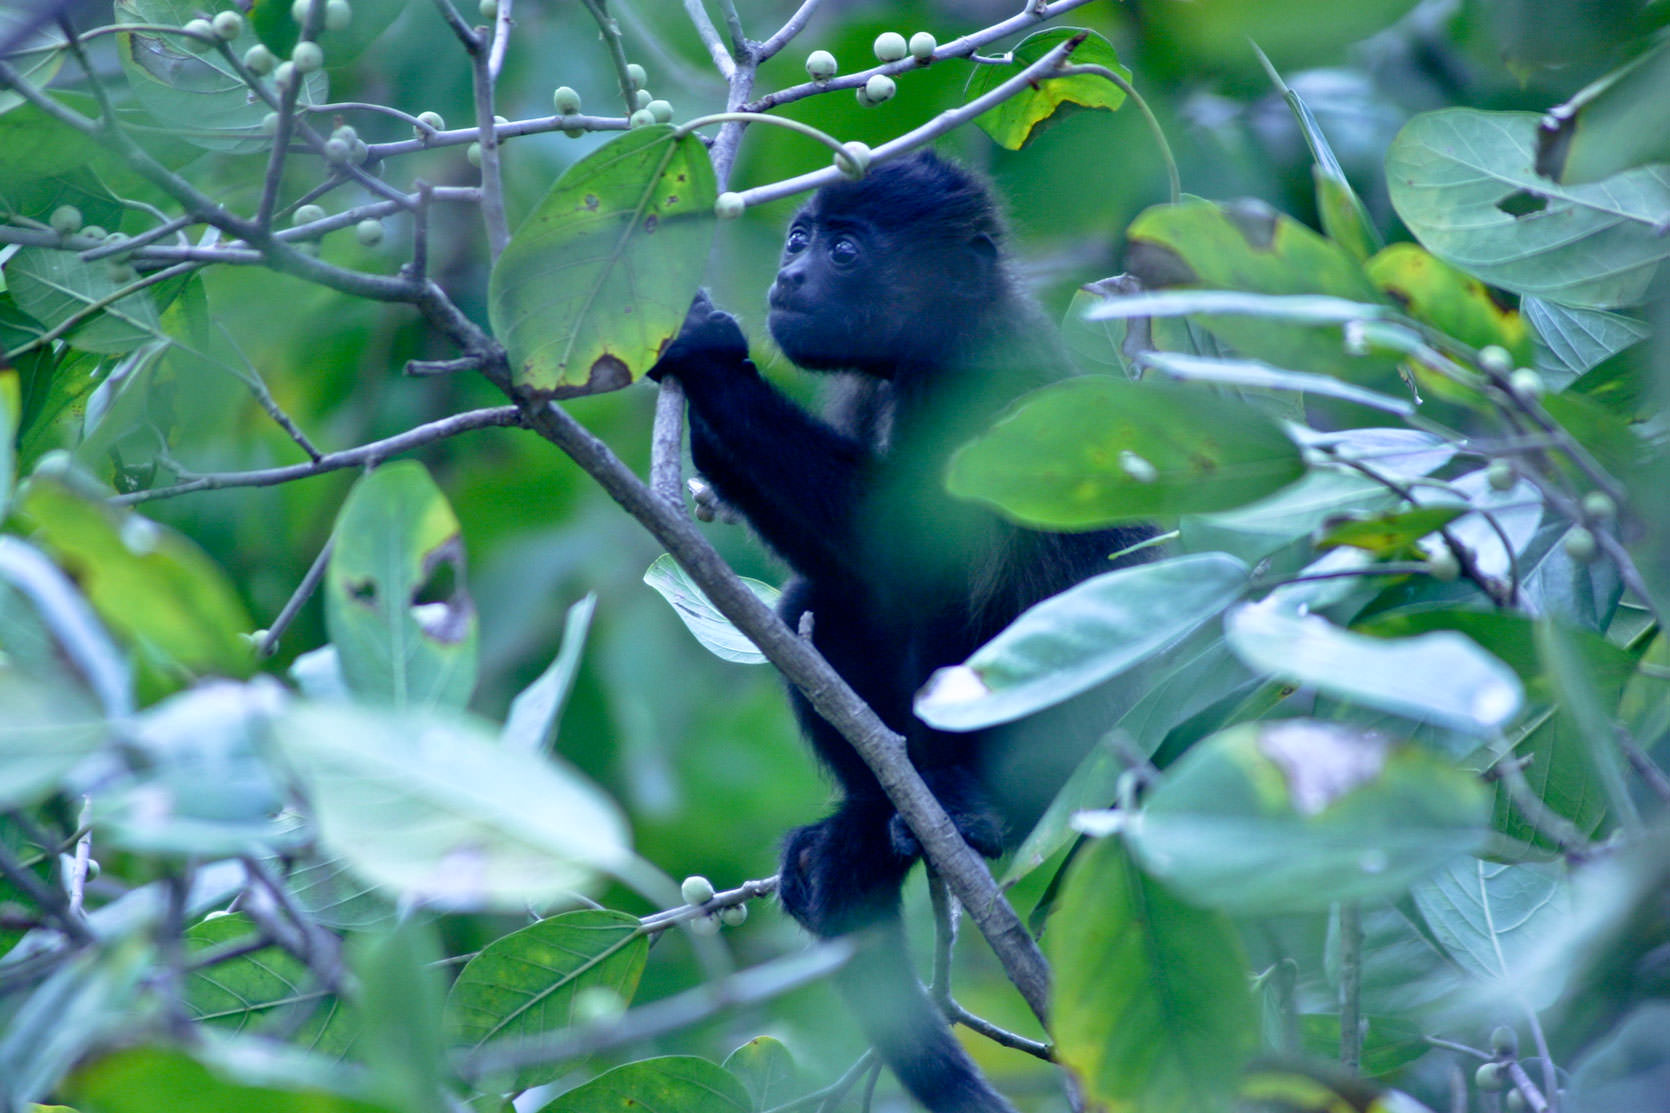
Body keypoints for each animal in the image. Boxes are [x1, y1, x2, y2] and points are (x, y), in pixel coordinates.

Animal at [649, 151, 1153, 1113]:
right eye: (801, 236)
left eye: (846, 251)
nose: (789, 276)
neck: (917, 351)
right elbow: (853, 571)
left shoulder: (969, 384)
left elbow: (912, 555)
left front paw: (710, 362)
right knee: (815, 600)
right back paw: (861, 826)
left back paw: (962, 807)